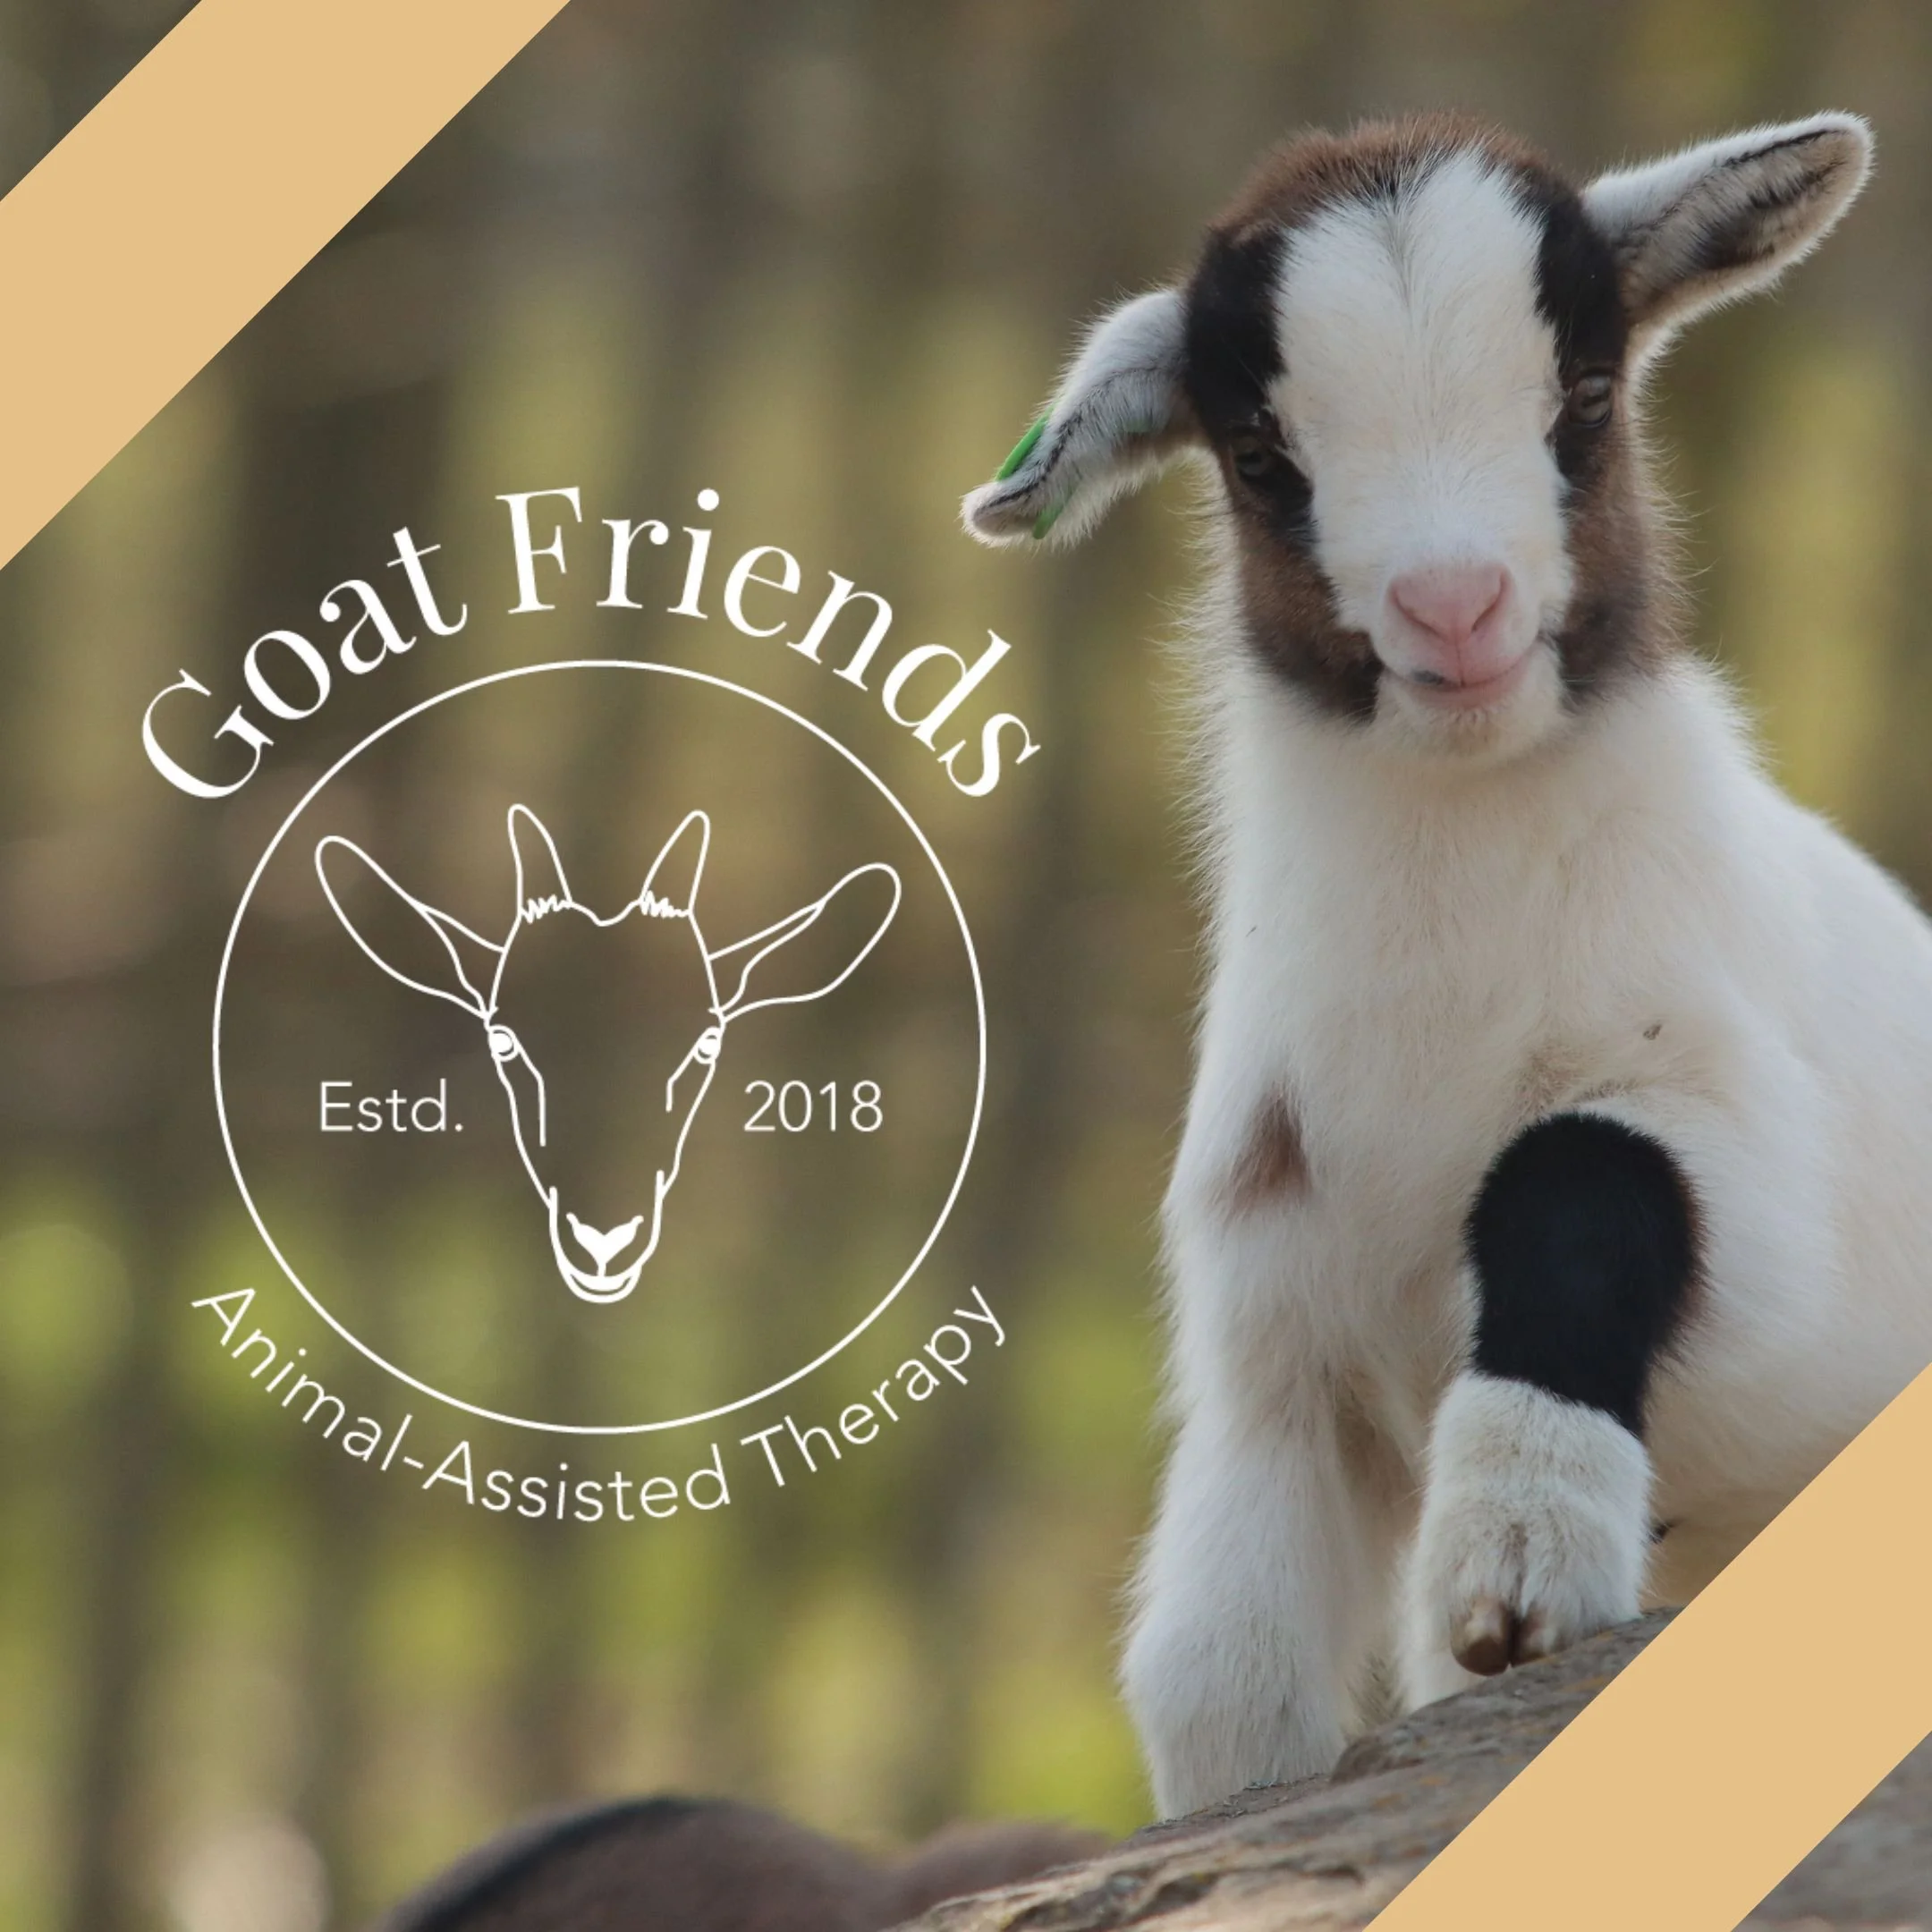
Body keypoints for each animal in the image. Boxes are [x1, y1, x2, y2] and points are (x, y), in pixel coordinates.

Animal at [963, 110, 1932, 1817]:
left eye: (1587, 400)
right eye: (1262, 456)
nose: (1455, 606)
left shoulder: (1743, 1155)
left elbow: (1579, 1180)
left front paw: (1520, 1549)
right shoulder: (1275, 1330)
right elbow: (1220, 1675)